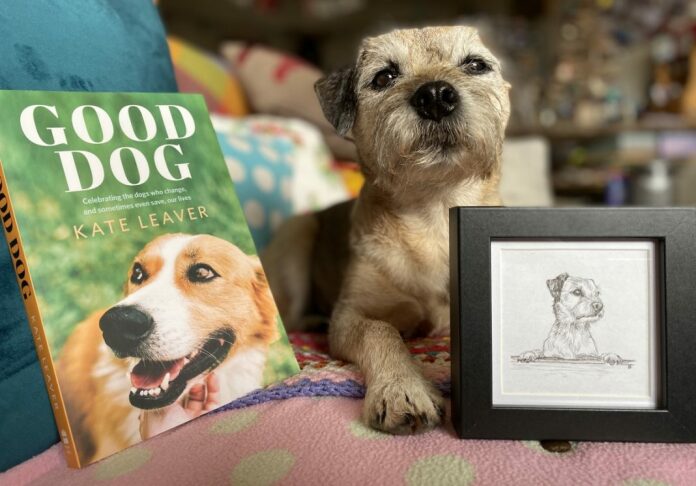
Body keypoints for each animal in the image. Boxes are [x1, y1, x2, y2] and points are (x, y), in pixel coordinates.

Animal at [264, 26, 508, 432]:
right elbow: (381, 331)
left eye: (475, 65)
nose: (435, 95)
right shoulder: (352, 316)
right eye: (384, 77)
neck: (432, 214)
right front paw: (401, 389)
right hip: (297, 234)